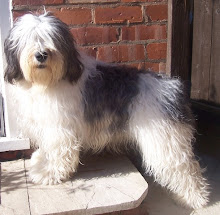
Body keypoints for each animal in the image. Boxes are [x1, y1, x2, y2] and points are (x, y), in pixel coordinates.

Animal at [4, 11, 209, 208]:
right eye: (29, 39)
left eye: (52, 39)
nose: (41, 55)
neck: (47, 81)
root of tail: (174, 86)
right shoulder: (47, 124)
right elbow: (47, 149)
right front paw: (40, 162)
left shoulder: (60, 129)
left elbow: (58, 152)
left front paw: (49, 173)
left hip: (165, 141)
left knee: (186, 169)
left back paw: (194, 200)